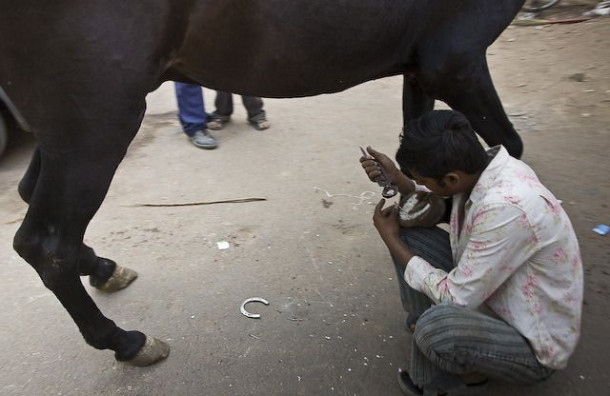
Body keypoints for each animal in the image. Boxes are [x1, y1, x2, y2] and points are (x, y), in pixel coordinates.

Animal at [0, 0, 524, 366]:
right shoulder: (455, 61)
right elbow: (506, 149)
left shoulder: (419, 68)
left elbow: (413, 149)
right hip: (98, 124)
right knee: (47, 245)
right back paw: (126, 341)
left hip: (70, 124)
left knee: (32, 203)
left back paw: (105, 268)